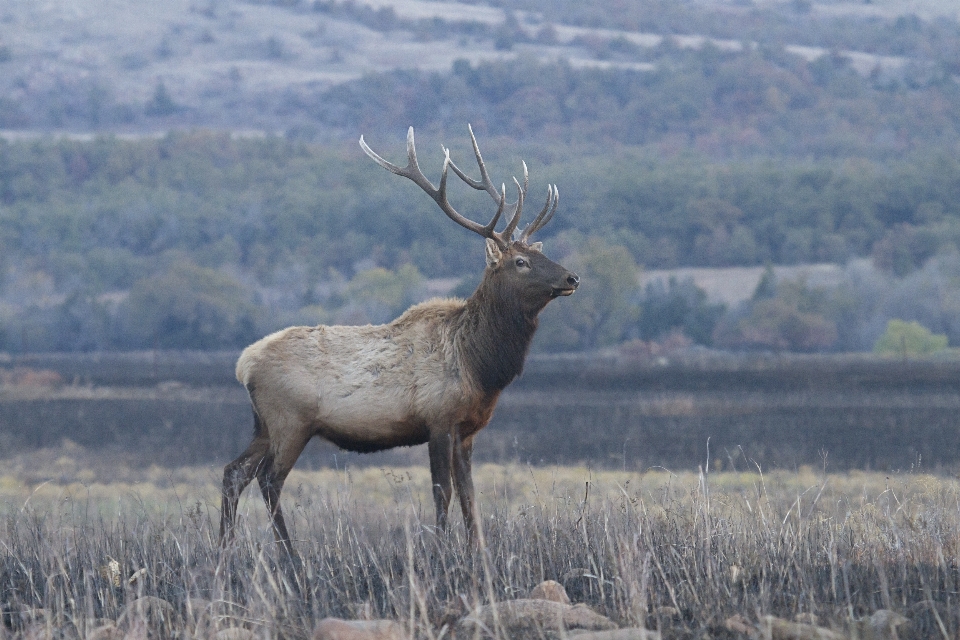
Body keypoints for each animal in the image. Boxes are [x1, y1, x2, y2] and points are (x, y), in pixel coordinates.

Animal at [219, 126, 576, 556]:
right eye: (520, 262)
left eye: (539, 254)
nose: (572, 277)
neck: (479, 367)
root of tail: (244, 364)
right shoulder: (438, 418)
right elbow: (443, 493)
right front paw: (440, 552)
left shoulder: (468, 429)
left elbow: (470, 496)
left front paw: (478, 553)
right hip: (290, 419)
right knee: (269, 479)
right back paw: (291, 557)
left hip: (263, 424)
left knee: (233, 472)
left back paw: (225, 551)